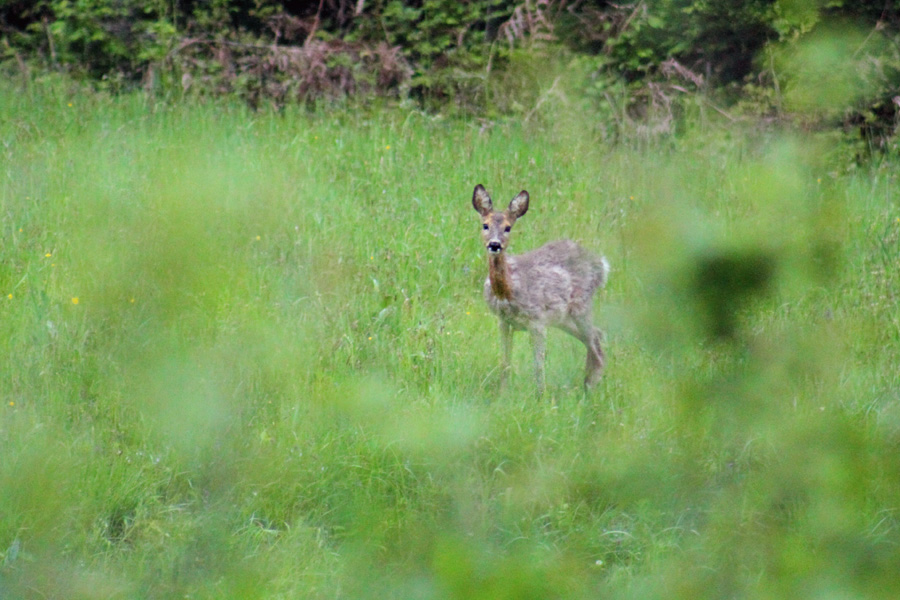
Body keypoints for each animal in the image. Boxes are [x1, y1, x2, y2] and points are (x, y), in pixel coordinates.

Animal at [472, 185, 612, 396]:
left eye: (508, 227)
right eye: (485, 225)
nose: (494, 244)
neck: (507, 292)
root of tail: (601, 266)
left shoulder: (536, 320)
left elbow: (538, 364)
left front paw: (540, 396)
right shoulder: (504, 322)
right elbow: (505, 362)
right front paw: (502, 394)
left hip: (581, 306)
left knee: (596, 345)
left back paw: (589, 390)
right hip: (563, 318)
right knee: (597, 335)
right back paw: (587, 384)